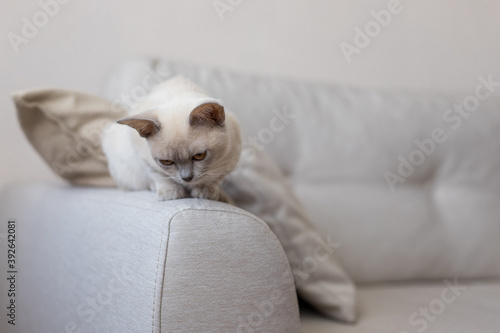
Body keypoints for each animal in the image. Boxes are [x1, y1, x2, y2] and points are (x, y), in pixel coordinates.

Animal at [102, 77, 241, 202]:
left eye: (199, 156)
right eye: (167, 162)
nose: (187, 178)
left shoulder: (229, 161)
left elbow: (216, 179)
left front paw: (205, 191)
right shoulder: (142, 156)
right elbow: (159, 175)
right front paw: (170, 193)